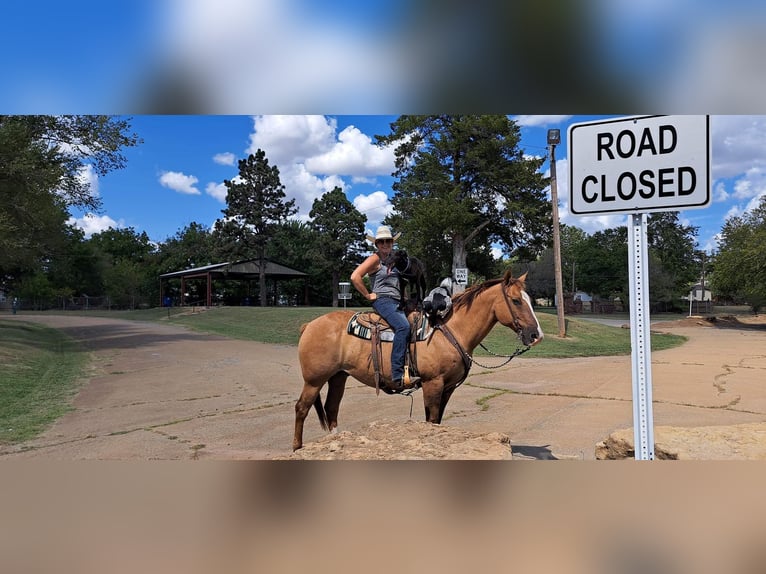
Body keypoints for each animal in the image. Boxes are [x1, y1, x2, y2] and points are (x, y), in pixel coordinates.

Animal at [292, 270, 544, 454]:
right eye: (515, 301)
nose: (536, 335)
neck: (450, 330)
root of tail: (309, 325)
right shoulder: (433, 383)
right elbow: (431, 420)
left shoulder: (447, 388)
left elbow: (437, 421)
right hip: (314, 380)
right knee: (302, 408)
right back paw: (296, 448)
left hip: (338, 377)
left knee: (331, 408)